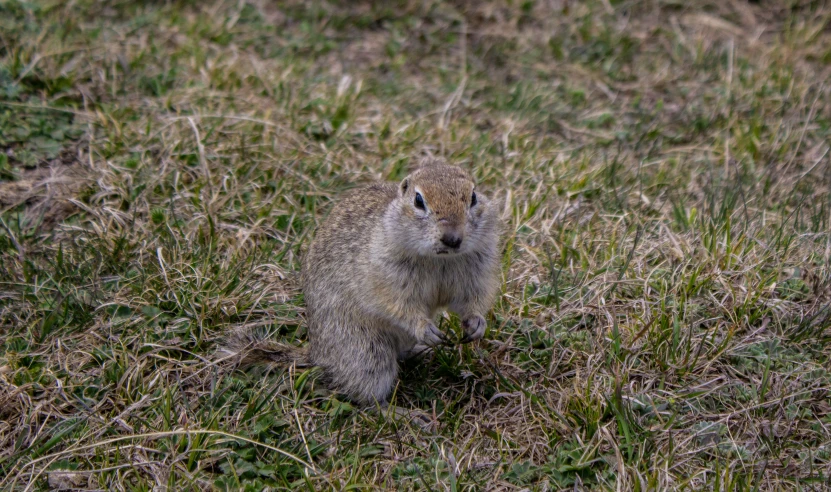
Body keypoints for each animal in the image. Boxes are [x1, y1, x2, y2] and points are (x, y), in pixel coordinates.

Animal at [226, 160, 500, 406]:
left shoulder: (476, 271)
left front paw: (477, 323)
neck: (440, 259)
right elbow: (399, 306)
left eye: (473, 197)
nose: (452, 238)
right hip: (366, 351)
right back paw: (403, 412)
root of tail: (317, 355)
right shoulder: (387, 278)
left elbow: (470, 299)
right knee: (367, 397)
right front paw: (425, 329)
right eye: (418, 201)